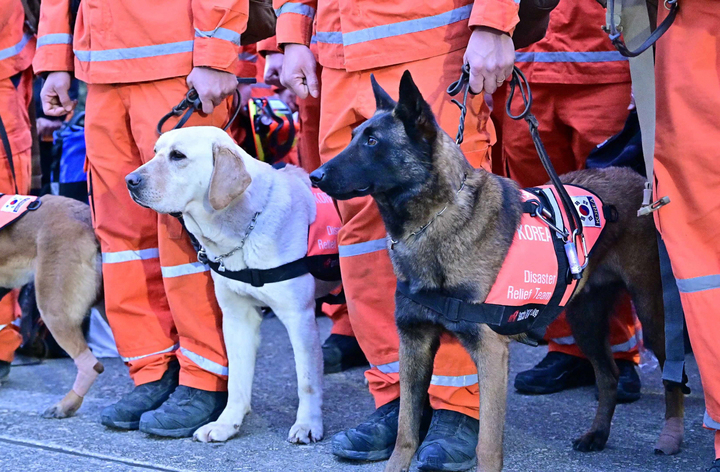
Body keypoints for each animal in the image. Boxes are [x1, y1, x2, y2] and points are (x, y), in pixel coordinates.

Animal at [126, 125, 338, 442]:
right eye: (155, 152)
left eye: (178, 156)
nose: (130, 180)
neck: (243, 228)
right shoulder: (237, 317)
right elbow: (236, 379)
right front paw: (227, 424)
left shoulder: (299, 316)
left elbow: (308, 381)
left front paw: (307, 424)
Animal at [310, 71, 688, 472]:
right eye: (355, 136)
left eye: (372, 141)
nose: (315, 175)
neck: (434, 221)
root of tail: (634, 178)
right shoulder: (413, 344)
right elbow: (405, 432)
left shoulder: (490, 353)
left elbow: (487, 445)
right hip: (584, 320)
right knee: (608, 375)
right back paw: (597, 434)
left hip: (652, 314)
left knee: (671, 374)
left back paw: (671, 435)